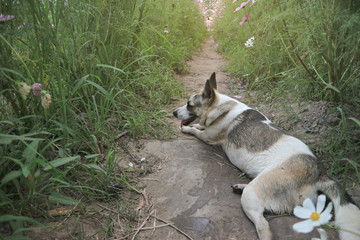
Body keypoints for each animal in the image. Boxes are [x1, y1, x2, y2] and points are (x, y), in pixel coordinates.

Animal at [174, 72, 360, 240]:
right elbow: (199, 126)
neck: (220, 107)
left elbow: (196, 130)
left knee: (264, 226)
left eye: (189, 105)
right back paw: (240, 186)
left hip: (253, 194)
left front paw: (188, 129)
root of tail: (320, 172)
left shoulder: (208, 137)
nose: (174, 113)